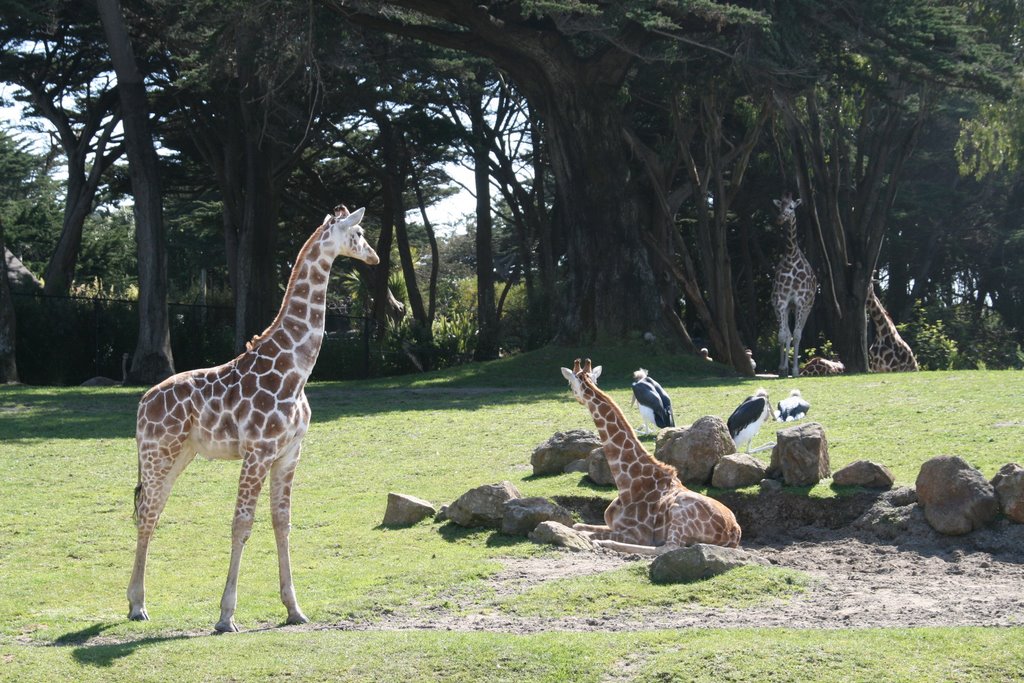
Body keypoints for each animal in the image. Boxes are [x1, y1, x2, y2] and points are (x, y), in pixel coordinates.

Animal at [126, 205, 380, 634]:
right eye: (359, 233)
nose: (375, 257)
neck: (296, 369)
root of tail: (143, 404)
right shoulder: (258, 451)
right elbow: (242, 524)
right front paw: (226, 616)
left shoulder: (290, 453)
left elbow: (282, 522)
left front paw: (294, 609)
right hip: (158, 451)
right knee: (146, 513)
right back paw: (137, 606)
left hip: (179, 454)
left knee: (153, 510)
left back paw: (138, 602)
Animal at [561, 358, 745, 557]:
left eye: (570, 383)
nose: (576, 397)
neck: (628, 482)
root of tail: (734, 533)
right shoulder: (612, 525)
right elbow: (578, 526)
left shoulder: (634, 533)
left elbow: (586, 532)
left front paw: (596, 540)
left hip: (680, 513)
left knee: (668, 547)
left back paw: (606, 544)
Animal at [770, 193, 819, 378]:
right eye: (779, 206)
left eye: (791, 207)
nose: (779, 219)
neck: (791, 255)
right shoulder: (781, 302)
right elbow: (783, 335)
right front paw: (782, 369)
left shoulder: (800, 302)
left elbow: (797, 335)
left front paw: (796, 370)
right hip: (785, 308)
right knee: (788, 334)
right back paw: (784, 368)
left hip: (807, 308)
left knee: (797, 334)